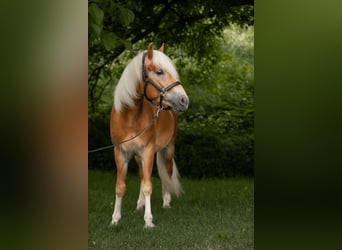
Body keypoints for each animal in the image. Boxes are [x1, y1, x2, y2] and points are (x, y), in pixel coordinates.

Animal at [110, 42, 188, 228]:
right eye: (159, 71)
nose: (184, 100)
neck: (130, 116)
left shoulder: (148, 151)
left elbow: (148, 185)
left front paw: (148, 221)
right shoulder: (120, 153)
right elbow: (120, 186)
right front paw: (115, 219)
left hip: (168, 149)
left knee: (166, 173)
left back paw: (166, 202)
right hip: (138, 157)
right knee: (141, 176)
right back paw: (140, 204)